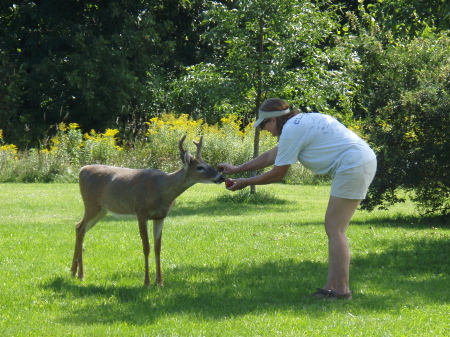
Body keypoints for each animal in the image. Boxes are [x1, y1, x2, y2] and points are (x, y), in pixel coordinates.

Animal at [71, 134, 225, 286]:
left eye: (207, 164)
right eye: (200, 167)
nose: (221, 177)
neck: (162, 190)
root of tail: (82, 170)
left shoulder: (160, 217)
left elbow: (158, 247)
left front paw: (160, 282)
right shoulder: (141, 213)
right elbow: (146, 247)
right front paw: (147, 282)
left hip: (102, 209)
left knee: (79, 227)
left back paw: (73, 272)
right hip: (91, 204)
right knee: (81, 228)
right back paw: (81, 275)